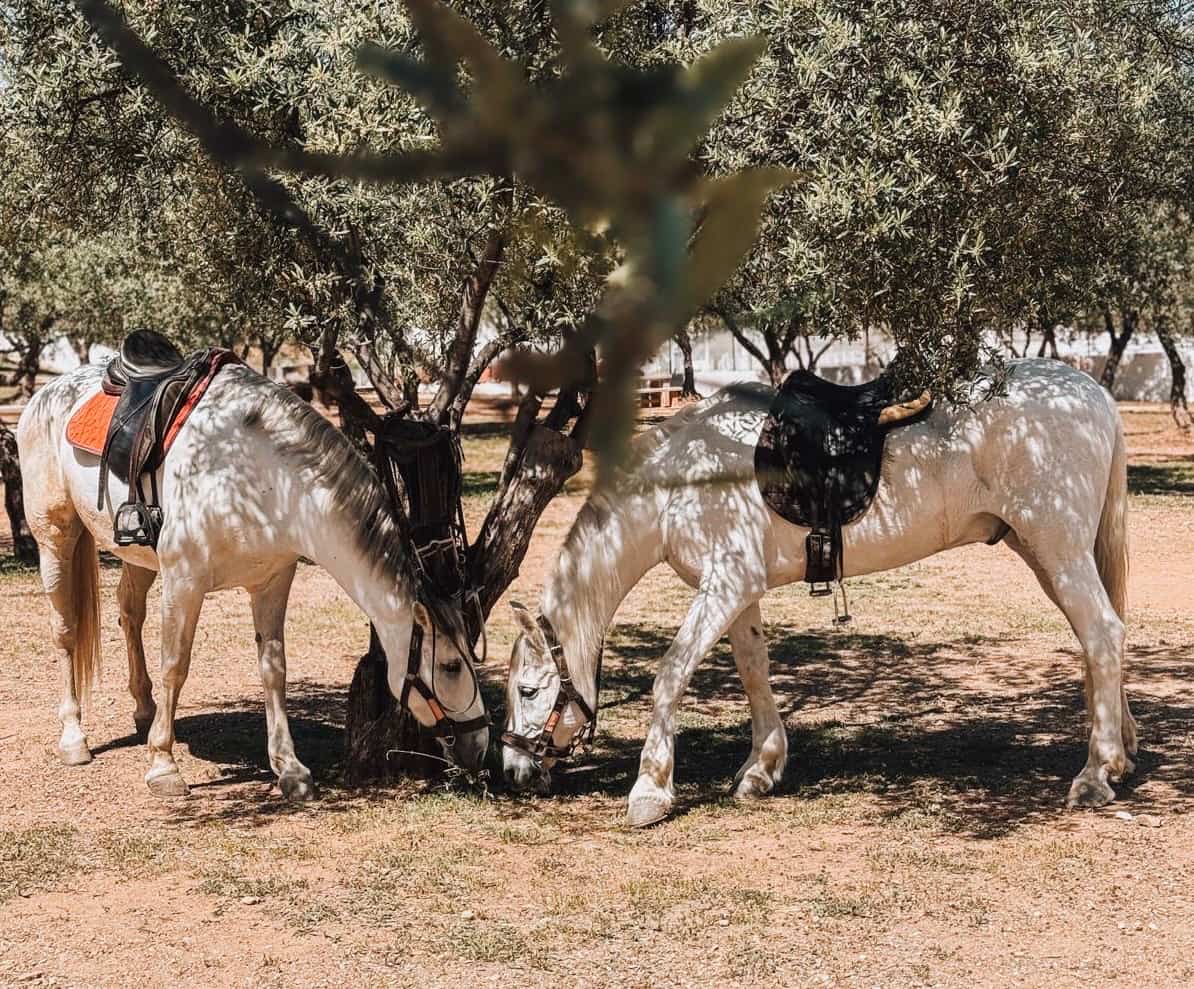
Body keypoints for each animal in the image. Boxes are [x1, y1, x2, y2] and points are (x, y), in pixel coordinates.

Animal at [17, 359, 490, 800]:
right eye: (450, 666)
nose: (481, 745)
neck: (261, 475)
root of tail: (49, 392)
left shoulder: (272, 581)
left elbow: (273, 668)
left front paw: (290, 768)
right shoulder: (184, 582)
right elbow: (175, 666)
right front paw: (163, 766)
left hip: (139, 558)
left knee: (129, 613)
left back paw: (145, 710)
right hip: (55, 538)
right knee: (66, 632)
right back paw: (74, 738)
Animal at [500, 359, 1134, 827]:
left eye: (529, 690)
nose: (511, 770)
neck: (680, 481)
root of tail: (1093, 393)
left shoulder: (723, 585)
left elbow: (670, 674)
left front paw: (650, 790)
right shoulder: (740, 591)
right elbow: (753, 669)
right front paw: (761, 768)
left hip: (1057, 549)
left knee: (1104, 634)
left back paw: (1096, 774)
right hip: (1044, 552)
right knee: (1095, 639)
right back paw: (1119, 752)